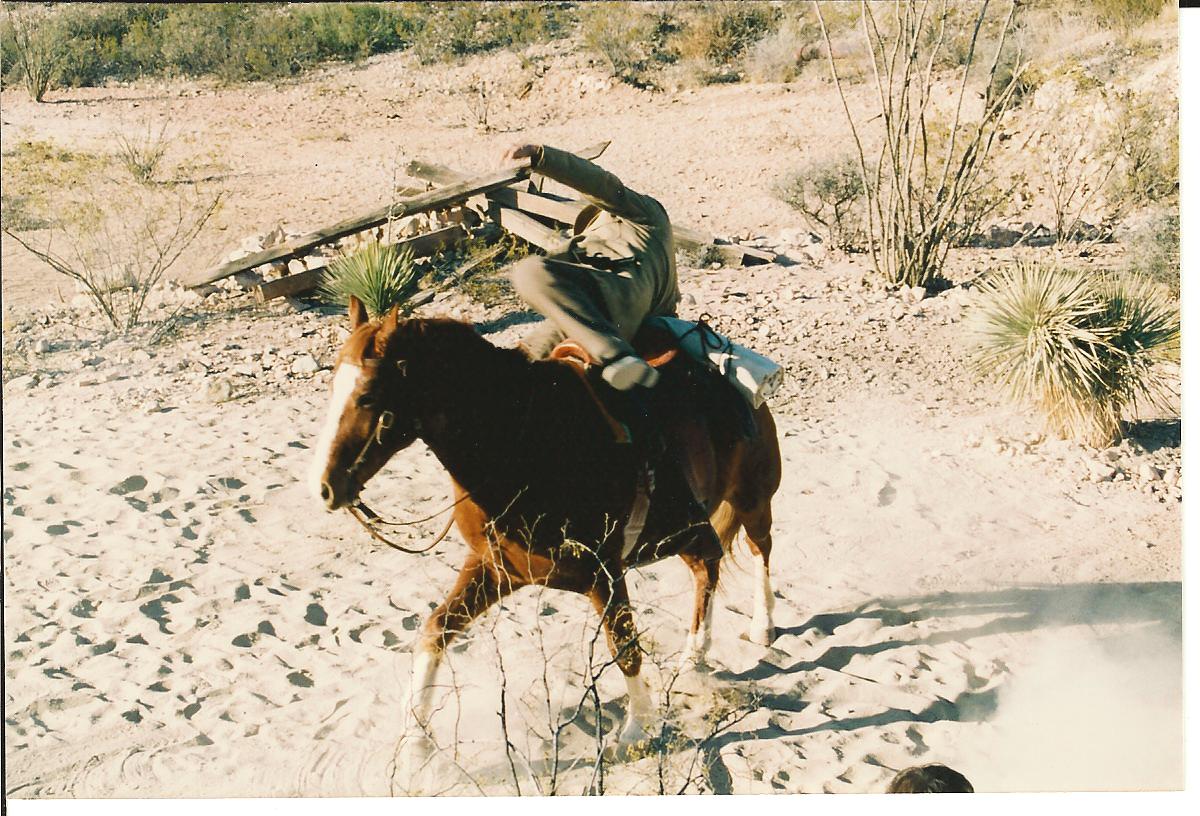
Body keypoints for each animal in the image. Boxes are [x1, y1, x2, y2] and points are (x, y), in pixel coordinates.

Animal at [304, 296, 782, 768]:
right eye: (331, 388)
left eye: (367, 396)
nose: (324, 488)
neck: (522, 447)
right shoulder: (495, 569)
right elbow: (434, 631)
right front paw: (415, 747)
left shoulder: (604, 574)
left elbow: (625, 648)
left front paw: (635, 732)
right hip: (690, 530)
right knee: (707, 565)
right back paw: (694, 659)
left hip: (752, 499)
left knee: (758, 549)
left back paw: (760, 626)